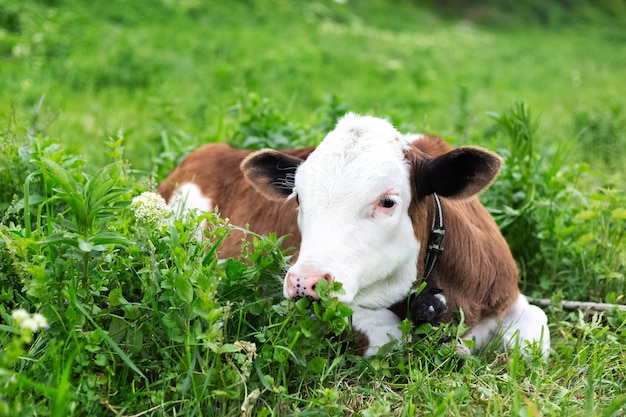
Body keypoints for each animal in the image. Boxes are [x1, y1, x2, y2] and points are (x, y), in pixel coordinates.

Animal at [158, 112, 548, 356]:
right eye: (298, 197)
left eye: (388, 201)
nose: (304, 281)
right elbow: (394, 336)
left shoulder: (508, 295)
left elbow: (535, 339)